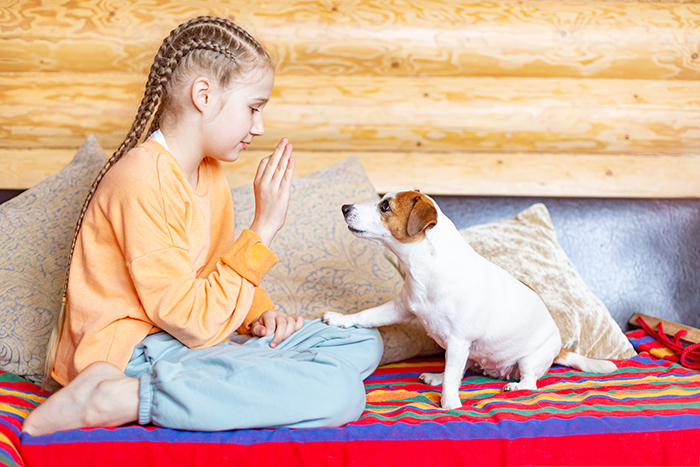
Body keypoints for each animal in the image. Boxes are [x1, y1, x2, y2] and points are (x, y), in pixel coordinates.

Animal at [324, 190, 616, 410]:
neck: (426, 269)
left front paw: (450, 404)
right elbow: (367, 315)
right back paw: (438, 375)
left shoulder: (457, 340)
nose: (344, 207)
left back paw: (514, 385)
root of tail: (560, 347)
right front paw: (340, 319)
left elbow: (453, 379)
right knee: (461, 368)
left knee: (529, 382)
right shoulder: (402, 308)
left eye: (385, 206)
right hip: (469, 353)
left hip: (528, 359)